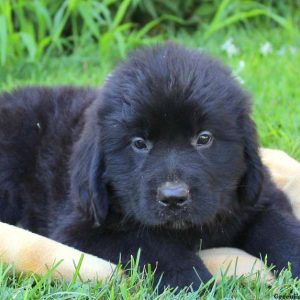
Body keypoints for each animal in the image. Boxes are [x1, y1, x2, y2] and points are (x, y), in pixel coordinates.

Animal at [0, 43, 300, 290]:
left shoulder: (259, 197)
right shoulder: (84, 227)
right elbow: (150, 243)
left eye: (204, 138)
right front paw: (192, 283)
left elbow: (278, 226)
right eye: (139, 143)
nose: (174, 198)